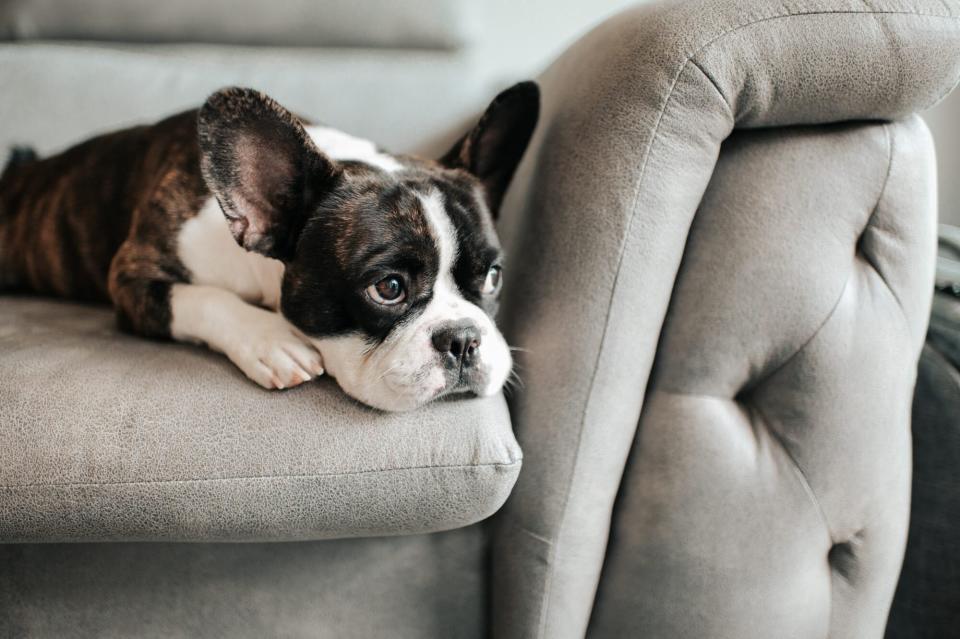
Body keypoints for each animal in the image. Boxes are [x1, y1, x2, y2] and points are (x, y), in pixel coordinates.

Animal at [0, 82, 540, 412]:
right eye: (388, 288)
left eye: (493, 277)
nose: (464, 338)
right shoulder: (133, 274)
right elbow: (204, 298)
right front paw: (270, 339)